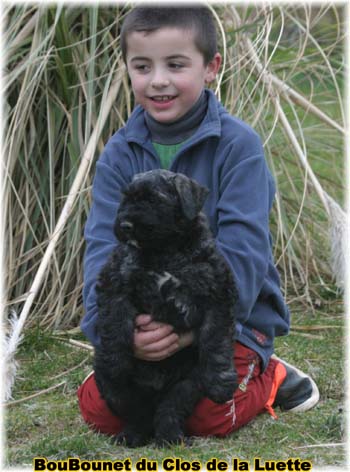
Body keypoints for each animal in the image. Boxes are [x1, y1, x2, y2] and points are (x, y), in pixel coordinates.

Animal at [93, 170, 238, 446]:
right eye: (126, 198)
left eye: (154, 200)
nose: (125, 225)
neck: (164, 250)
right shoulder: (116, 285)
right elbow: (115, 323)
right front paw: (115, 363)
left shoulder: (216, 294)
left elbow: (215, 338)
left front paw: (221, 381)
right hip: (114, 390)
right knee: (137, 413)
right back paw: (132, 435)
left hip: (189, 383)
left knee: (170, 408)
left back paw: (171, 437)